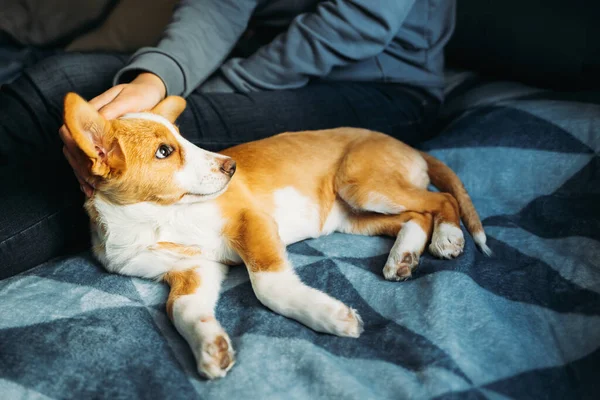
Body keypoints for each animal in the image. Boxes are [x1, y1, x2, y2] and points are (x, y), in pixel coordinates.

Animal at [63, 92, 490, 380]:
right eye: (165, 152)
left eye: (181, 141)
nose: (231, 167)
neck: (157, 219)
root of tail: (405, 144)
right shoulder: (194, 270)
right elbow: (180, 309)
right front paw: (210, 348)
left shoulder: (252, 221)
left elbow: (267, 285)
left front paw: (327, 315)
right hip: (353, 216)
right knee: (416, 215)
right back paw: (403, 256)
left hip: (362, 185)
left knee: (441, 199)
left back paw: (448, 236)